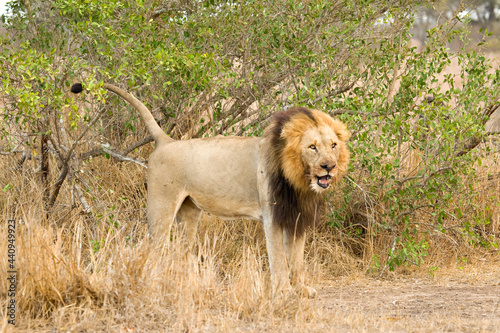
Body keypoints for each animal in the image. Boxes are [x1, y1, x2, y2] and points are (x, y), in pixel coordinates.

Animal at [71, 82, 352, 296]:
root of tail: (166, 141)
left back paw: (186, 285)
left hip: (189, 212)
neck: (298, 180)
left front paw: (302, 289)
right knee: (154, 249)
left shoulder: (296, 217)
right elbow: (279, 260)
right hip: (161, 210)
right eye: (312, 147)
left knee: (183, 251)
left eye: (333, 145)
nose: (329, 166)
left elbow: (297, 258)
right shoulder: (272, 216)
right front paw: (283, 292)